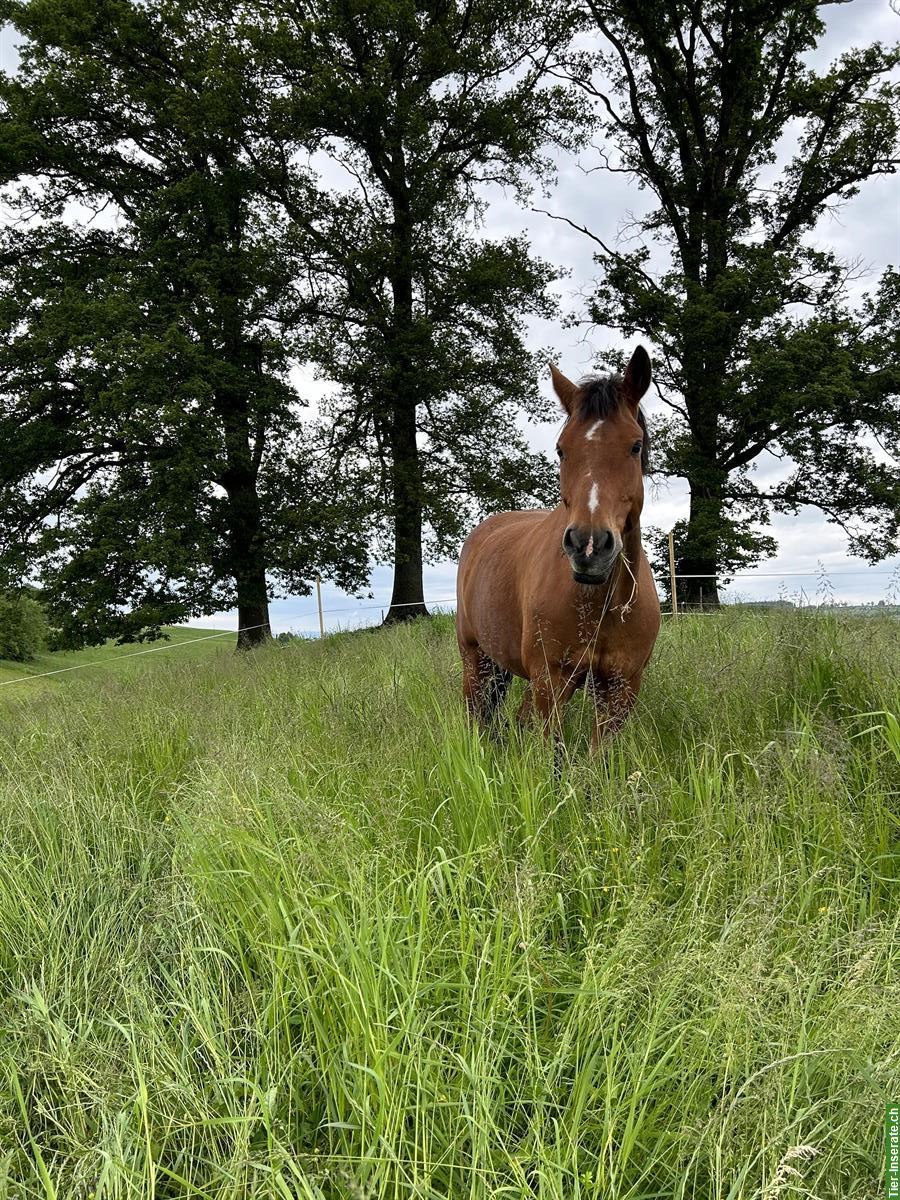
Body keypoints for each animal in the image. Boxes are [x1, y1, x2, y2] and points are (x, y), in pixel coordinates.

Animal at [458, 343, 662, 744]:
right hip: (476, 659)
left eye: (635, 446)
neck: (601, 604)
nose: (589, 545)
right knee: (477, 717)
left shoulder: (621, 688)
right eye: (560, 450)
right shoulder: (551, 681)